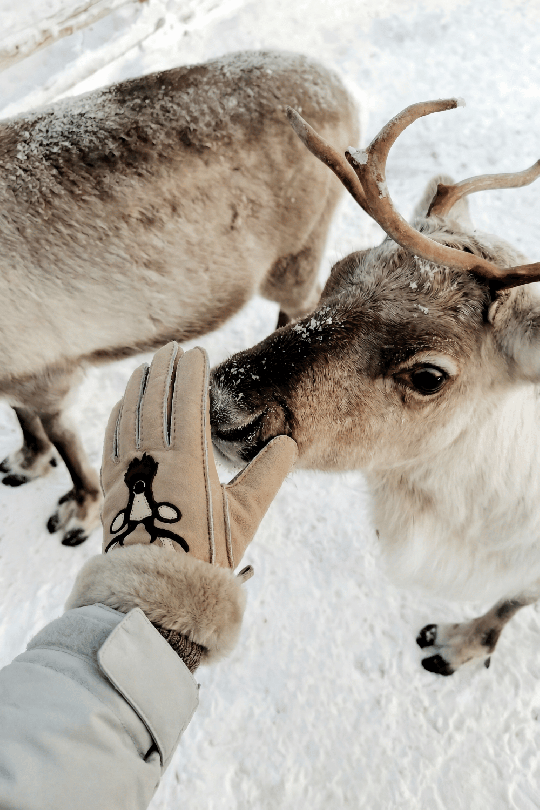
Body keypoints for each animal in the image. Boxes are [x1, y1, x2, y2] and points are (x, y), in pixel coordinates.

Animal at [0, 50, 358, 546]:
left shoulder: (46, 369)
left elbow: (63, 440)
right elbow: (22, 416)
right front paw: (27, 460)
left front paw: (79, 509)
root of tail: (341, 91)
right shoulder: (17, 371)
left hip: (296, 252)